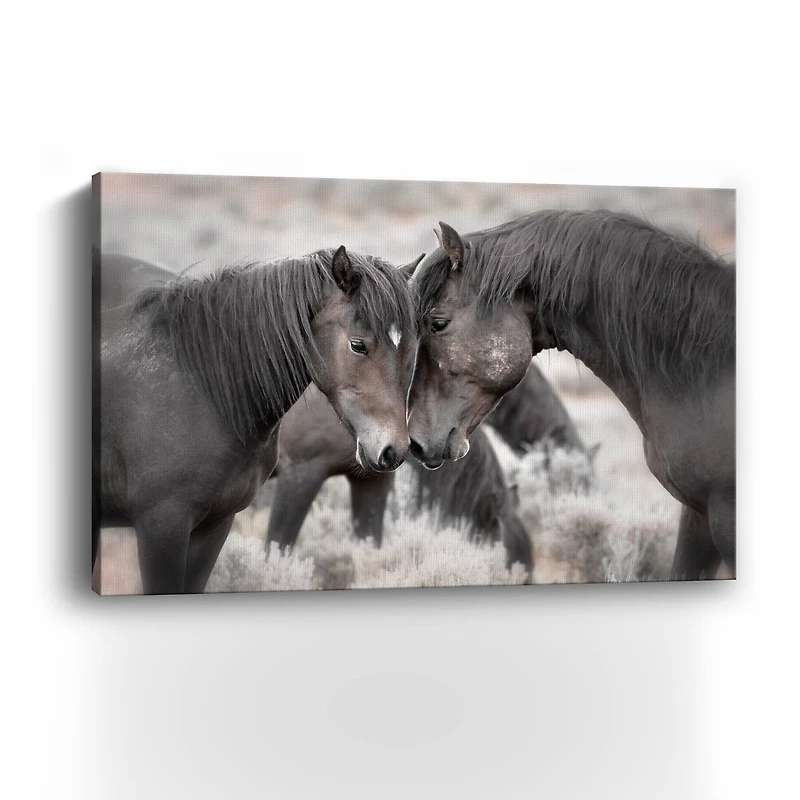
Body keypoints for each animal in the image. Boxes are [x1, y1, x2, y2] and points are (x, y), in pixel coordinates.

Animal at [95, 245, 416, 594]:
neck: (202, 391)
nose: (394, 449)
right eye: (358, 345)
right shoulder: (163, 524)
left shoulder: (216, 523)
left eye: (407, 351)